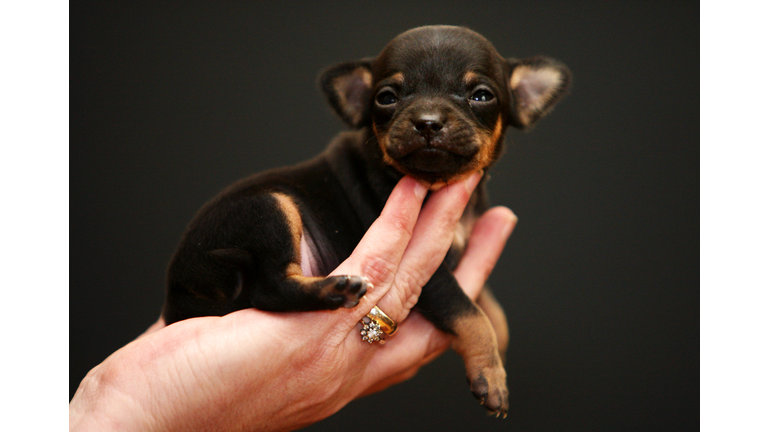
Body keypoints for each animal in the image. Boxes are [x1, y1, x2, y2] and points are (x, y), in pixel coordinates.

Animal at [162, 25, 568, 416]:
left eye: (482, 96)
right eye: (386, 97)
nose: (428, 123)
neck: (436, 186)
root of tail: (177, 288)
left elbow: (490, 305)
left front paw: (500, 345)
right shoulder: (432, 275)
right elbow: (469, 313)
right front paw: (491, 374)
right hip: (269, 207)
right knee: (271, 287)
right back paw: (333, 289)